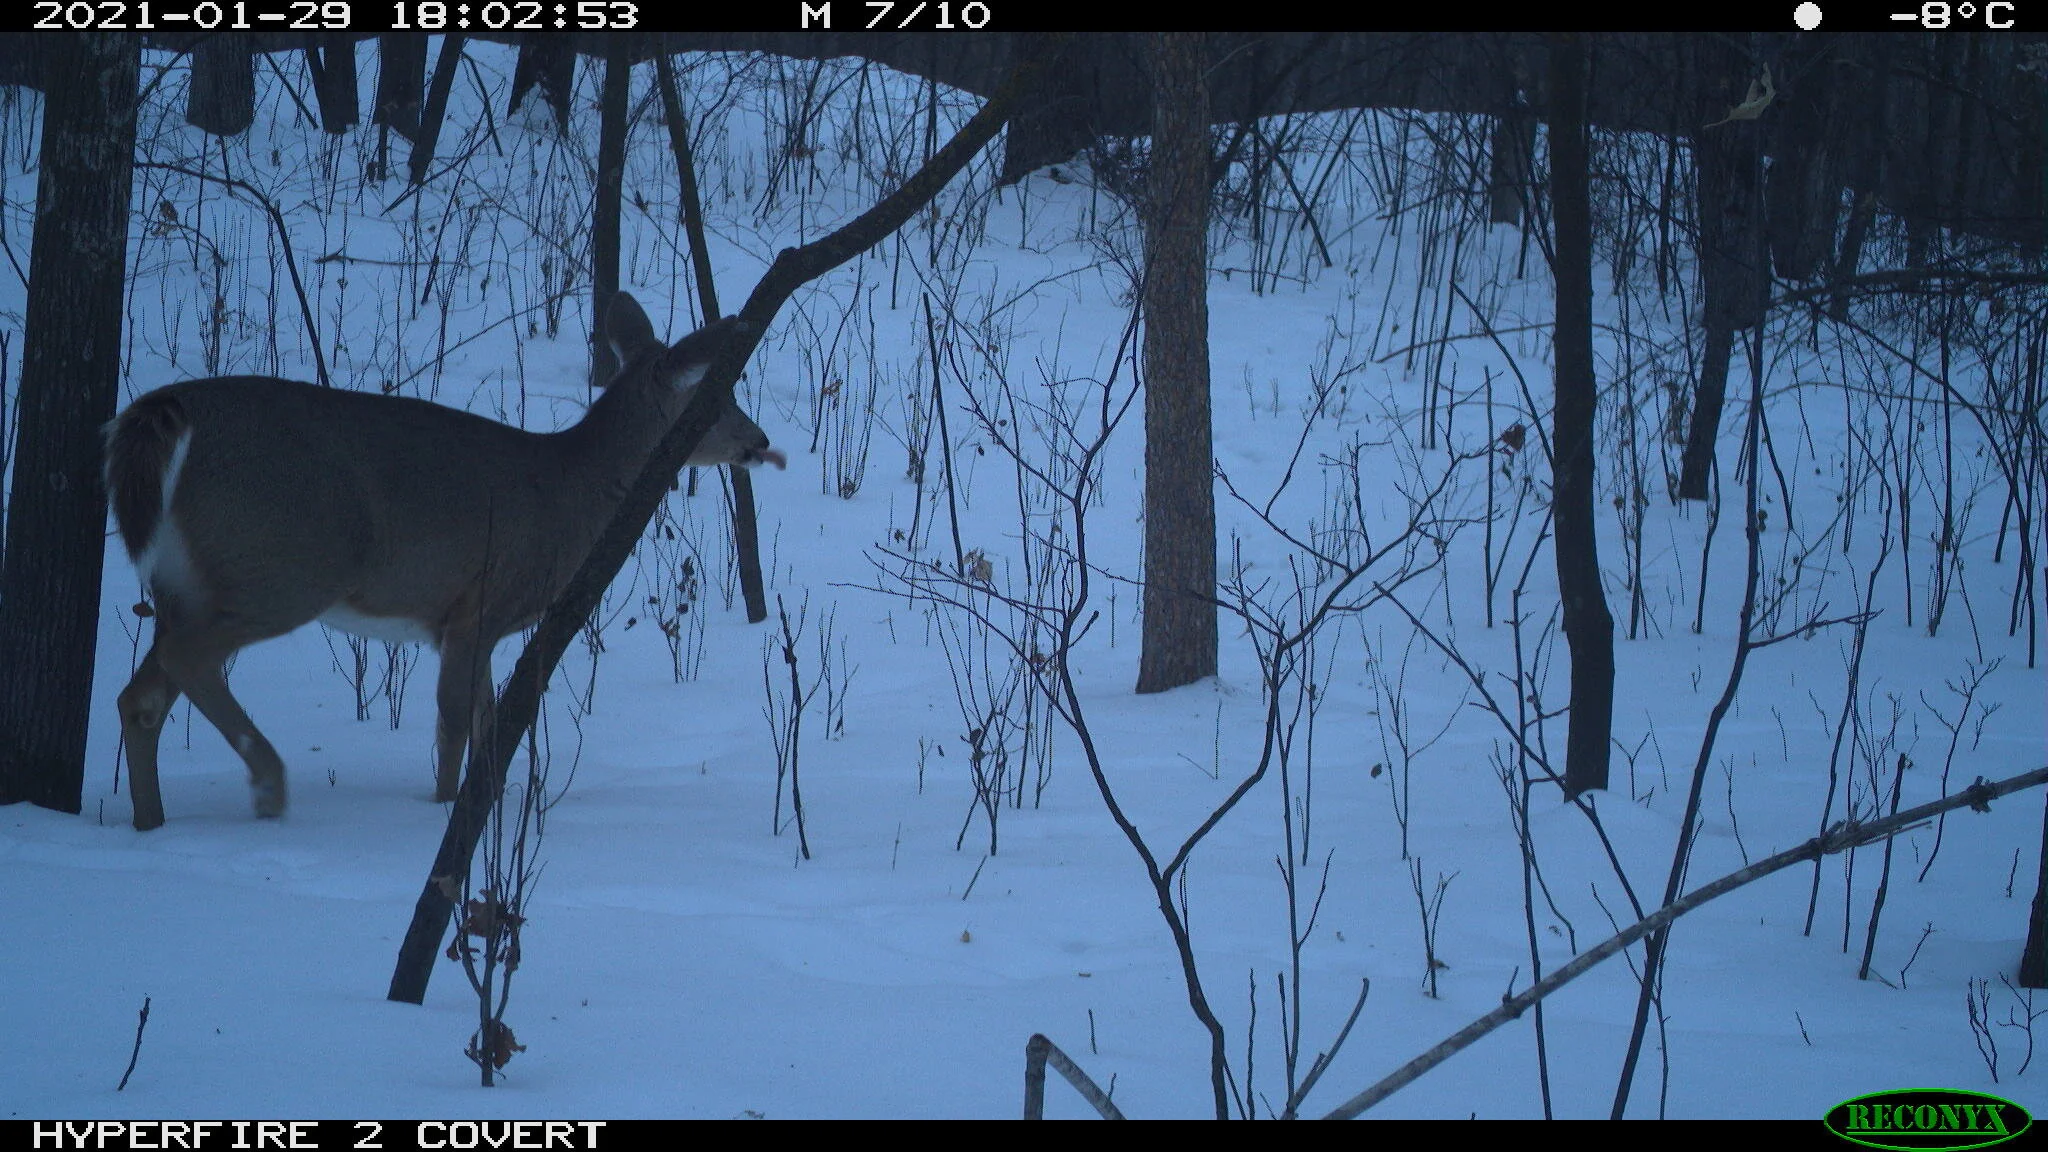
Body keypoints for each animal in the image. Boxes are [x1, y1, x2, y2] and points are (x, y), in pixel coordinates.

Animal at [103, 292, 785, 831]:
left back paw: (151, 822)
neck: (570, 490)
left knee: (142, 696)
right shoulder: (477, 603)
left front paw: (485, 802)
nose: (759, 441)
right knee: (185, 660)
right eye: (715, 398)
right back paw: (269, 789)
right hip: (283, 564)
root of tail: (167, 415)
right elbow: (454, 719)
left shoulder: (475, 624)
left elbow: (488, 719)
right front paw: (443, 807)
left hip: (186, 582)